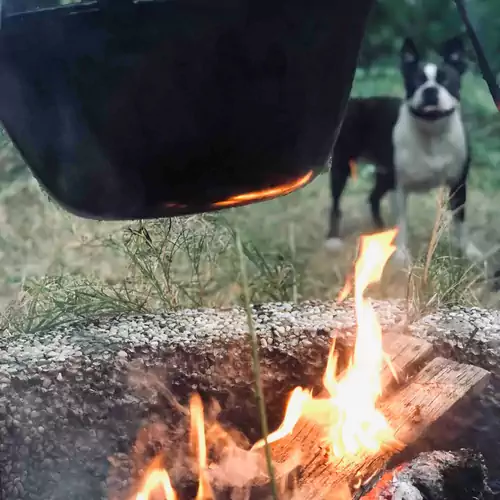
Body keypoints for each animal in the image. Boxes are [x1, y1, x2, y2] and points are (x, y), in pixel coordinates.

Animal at [324, 35, 480, 266]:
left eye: (446, 80)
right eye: (416, 81)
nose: (430, 90)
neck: (432, 132)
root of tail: (354, 101)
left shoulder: (458, 185)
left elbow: (461, 222)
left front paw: (469, 251)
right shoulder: (401, 188)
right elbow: (402, 223)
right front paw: (402, 255)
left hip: (385, 175)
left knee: (373, 197)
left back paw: (381, 229)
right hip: (343, 167)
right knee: (336, 202)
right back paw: (333, 239)